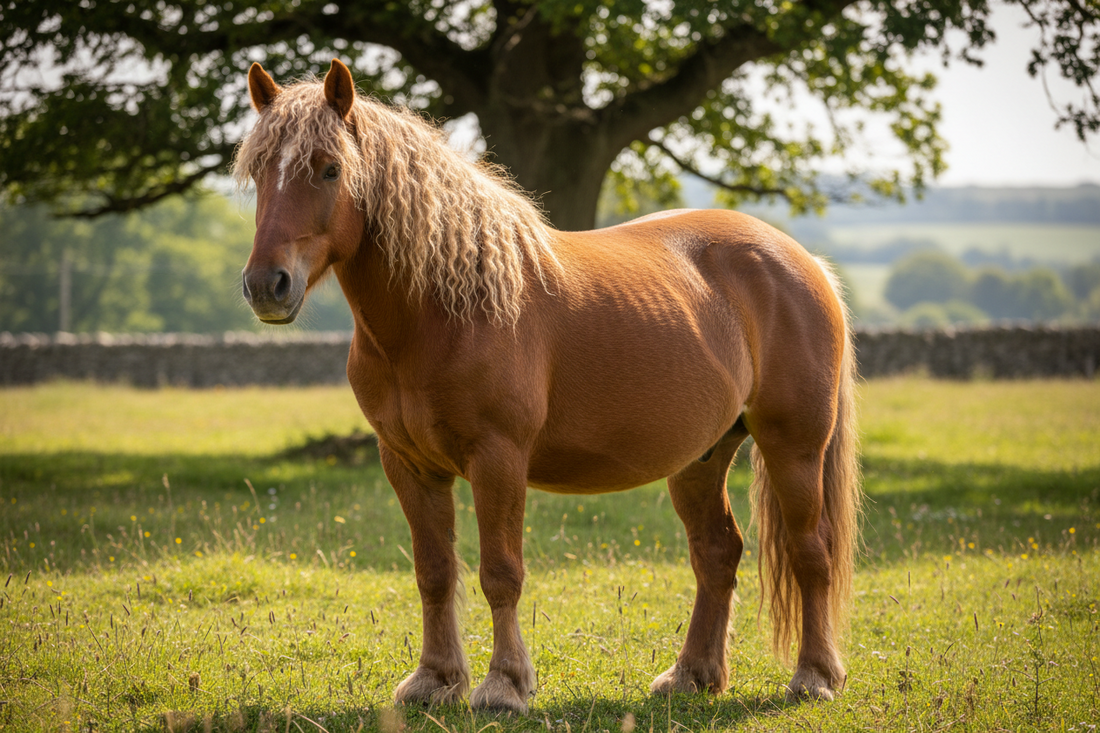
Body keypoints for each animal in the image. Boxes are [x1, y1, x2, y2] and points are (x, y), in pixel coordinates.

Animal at [234, 58, 862, 713]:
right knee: (717, 552)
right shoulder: (408, 464)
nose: (266, 285)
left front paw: (504, 686)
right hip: (702, 457)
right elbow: (434, 572)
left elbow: (500, 572)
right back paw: (692, 675)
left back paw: (815, 675)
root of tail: (804, 262)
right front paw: (435, 680)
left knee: (811, 550)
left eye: (330, 168)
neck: (444, 310)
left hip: (794, 447)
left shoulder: (498, 458)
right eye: (258, 171)